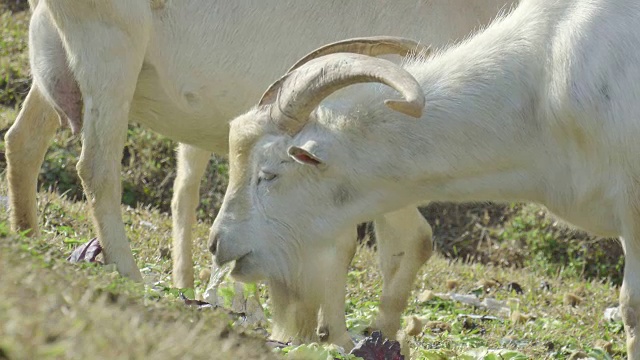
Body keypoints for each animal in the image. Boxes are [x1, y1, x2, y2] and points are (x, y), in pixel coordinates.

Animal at [3, 0, 516, 348]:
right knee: (97, 165)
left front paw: (368, 334)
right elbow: (379, 241)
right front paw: (334, 334)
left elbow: (397, 245)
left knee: (22, 141)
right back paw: (131, 277)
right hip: (112, 53)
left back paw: (30, 238)